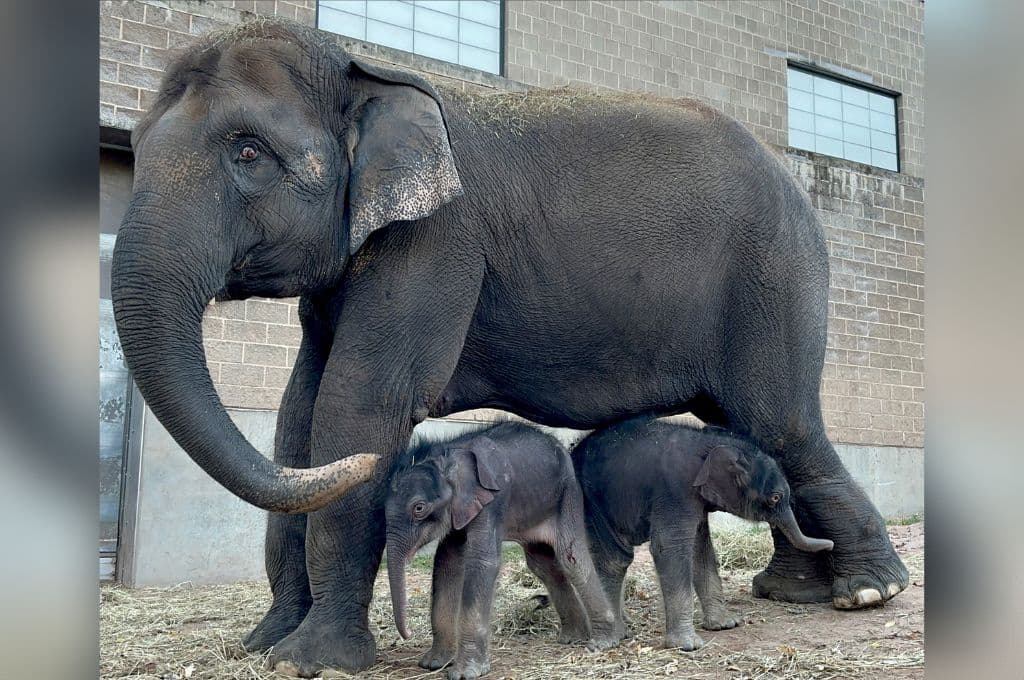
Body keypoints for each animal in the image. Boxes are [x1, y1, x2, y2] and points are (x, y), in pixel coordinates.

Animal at [385, 422, 619, 680]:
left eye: (419, 508)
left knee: (571, 557)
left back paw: (602, 642)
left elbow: (482, 561)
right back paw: (573, 638)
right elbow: (447, 561)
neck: (450, 454)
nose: (407, 635)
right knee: (542, 564)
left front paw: (465, 673)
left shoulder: (493, 500)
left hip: (567, 493)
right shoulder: (462, 509)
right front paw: (434, 663)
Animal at [572, 418, 834, 651]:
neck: (708, 443)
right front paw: (687, 645)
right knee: (615, 559)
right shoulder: (675, 492)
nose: (830, 544)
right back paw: (612, 637)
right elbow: (668, 547)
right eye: (775, 498)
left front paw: (726, 625)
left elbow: (701, 550)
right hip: (592, 500)